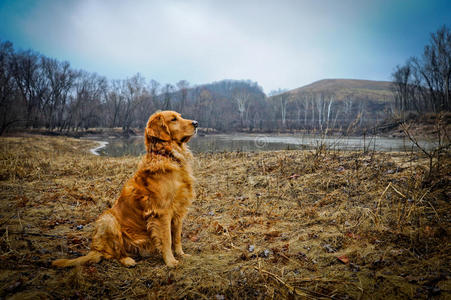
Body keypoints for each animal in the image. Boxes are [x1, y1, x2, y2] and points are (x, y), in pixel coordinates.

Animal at [53, 111, 198, 268]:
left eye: (180, 116)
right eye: (173, 119)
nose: (196, 123)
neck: (168, 155)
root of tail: (95, 249)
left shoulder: (179, 209)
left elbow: (176, 237)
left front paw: (181, 254)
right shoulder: (162, 212)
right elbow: (167, 239)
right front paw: (171, 261)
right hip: (107, 219)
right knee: (114, 253)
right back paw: (127, 261)